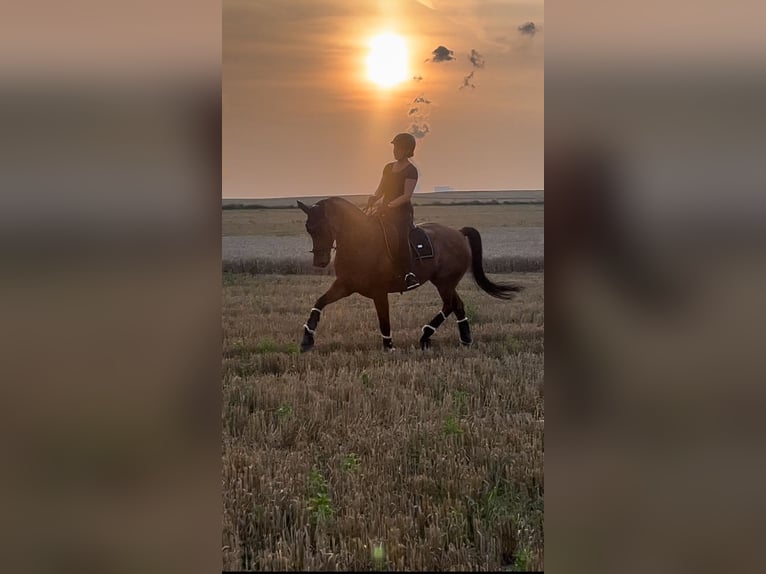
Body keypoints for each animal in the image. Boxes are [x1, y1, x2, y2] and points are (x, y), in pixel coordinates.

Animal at [296, 196, 520, 354]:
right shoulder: (345, 285)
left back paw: (431, 335)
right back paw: (457, 338)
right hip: (445, 283)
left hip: (444, 282)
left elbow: (384, 319)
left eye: (322, 227)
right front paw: (307, 339)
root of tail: (457, 232)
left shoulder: (379, 292)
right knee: (456, 305)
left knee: (451, 304)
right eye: (308, 228)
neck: (360, 240)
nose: (319, 262)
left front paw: (388, 346)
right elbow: (319, 302)